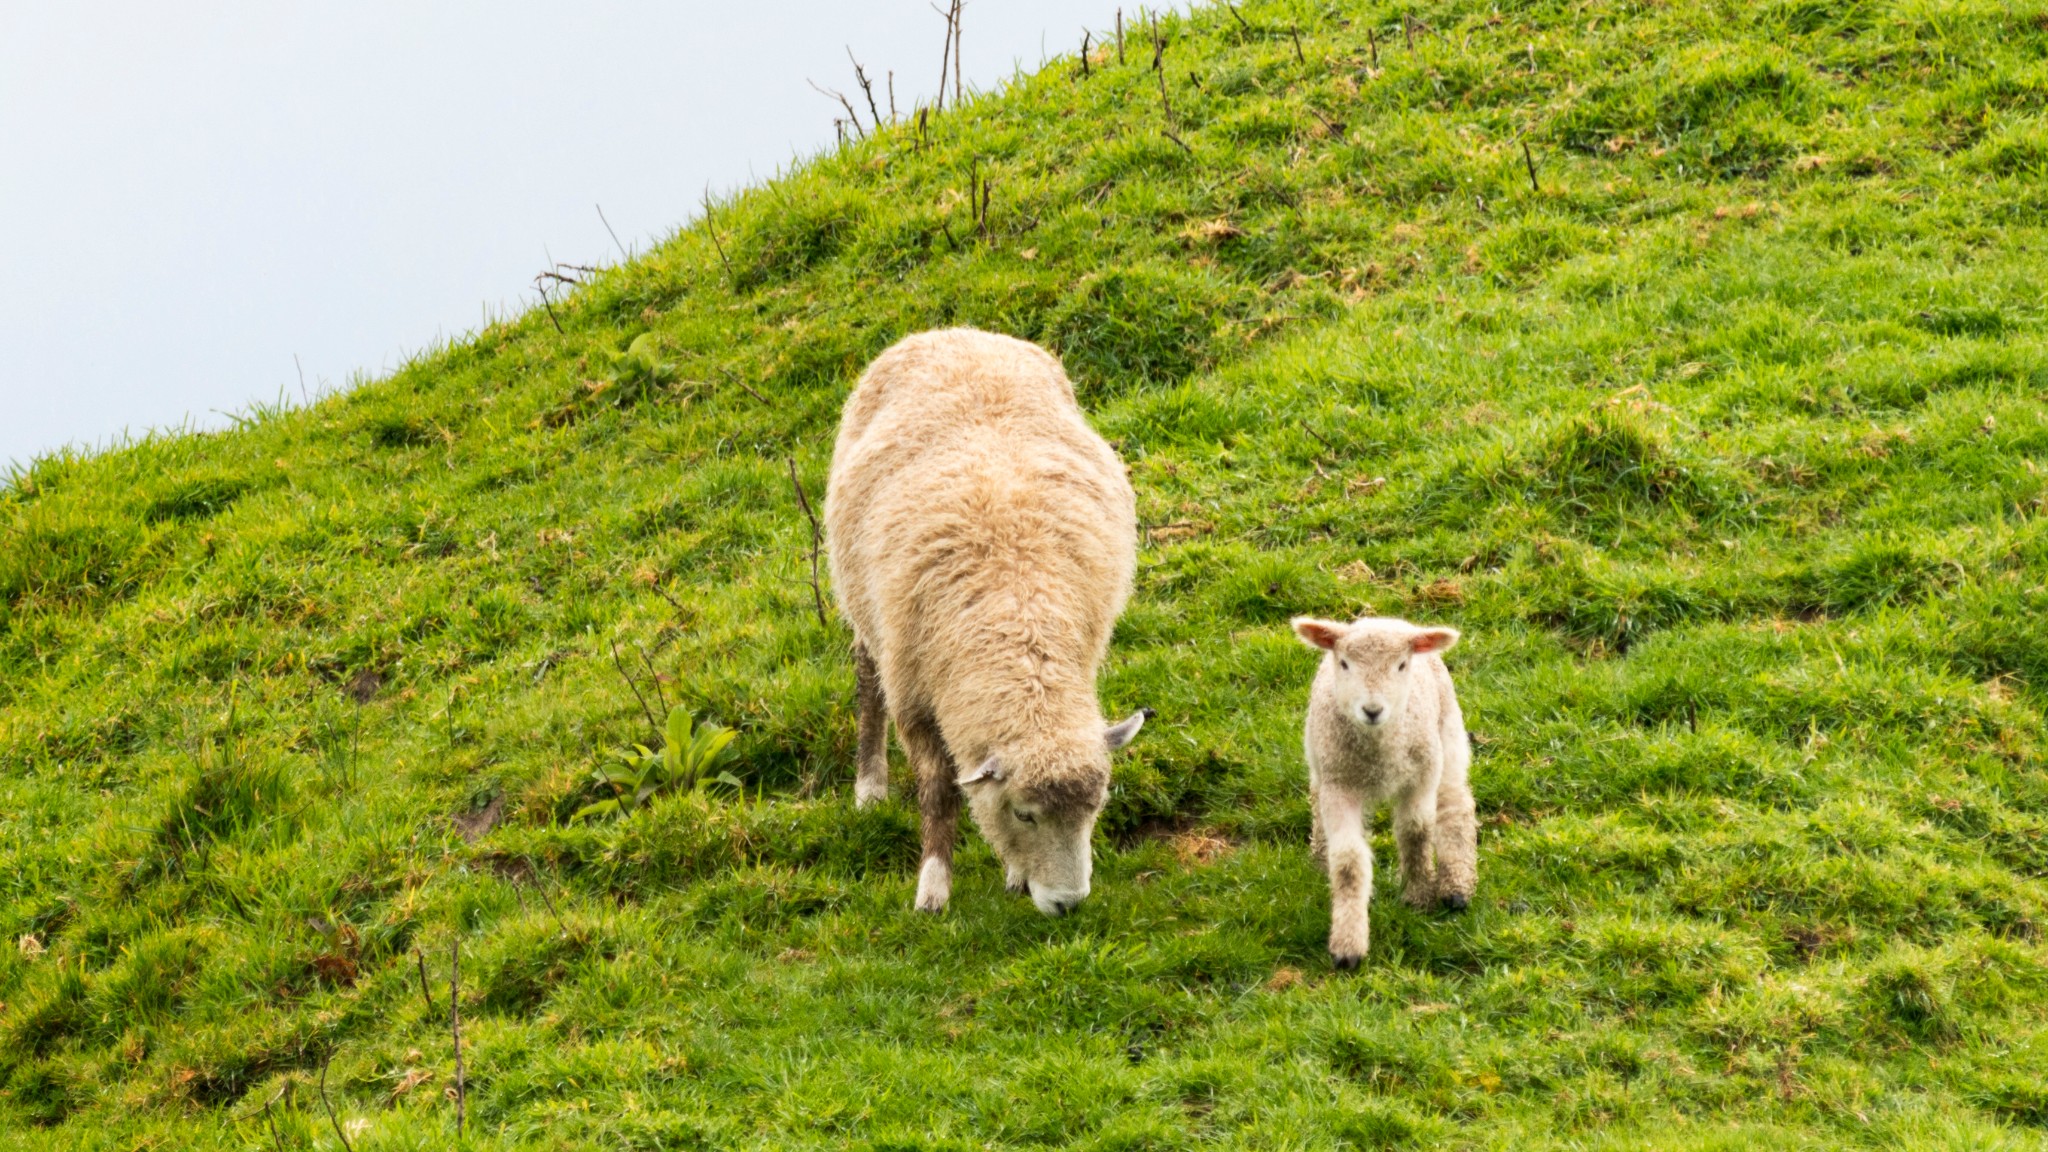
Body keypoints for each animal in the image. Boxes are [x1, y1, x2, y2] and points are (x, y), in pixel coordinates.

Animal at [831, 327, 1155, 910]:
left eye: (1097, 808)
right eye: (1024, 813)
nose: (1068, 904)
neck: (1014, 607)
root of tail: (952, 331)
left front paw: (1014, 875)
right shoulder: (915, 696)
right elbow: (939, 792)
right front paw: (933, 889)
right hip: (864, 603)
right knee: (867, 676)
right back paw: (869, 787)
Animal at [1294, 614, 1474, 963]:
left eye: (1402, 665)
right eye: (1345, 663)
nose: (1372, 710)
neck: (1380, 754)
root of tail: (1386, 618)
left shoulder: (1421, 777)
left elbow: (1416, 832)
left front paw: (1418, 895)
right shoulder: (1340, 785)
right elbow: (1348, 862)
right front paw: (1348, 945)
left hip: (1447, 733)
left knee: (1455, 802)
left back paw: (1457, 885)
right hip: (1319, 760)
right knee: (1316, 802)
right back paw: (1320, 857)